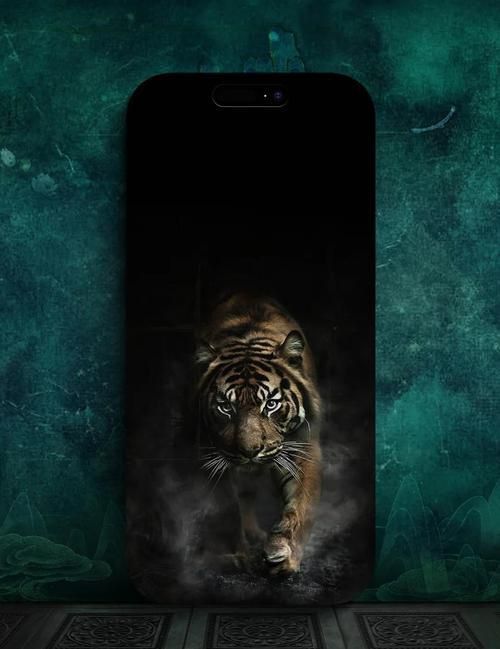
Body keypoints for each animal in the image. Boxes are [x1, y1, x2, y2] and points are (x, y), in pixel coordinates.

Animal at [195, 292, 322, 576]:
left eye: (271, 404)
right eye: (225, 407)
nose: (250, 451)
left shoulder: (302, 446)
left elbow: (300, 504)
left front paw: (285, 556)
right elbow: (230, 508)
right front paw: (240, 555)